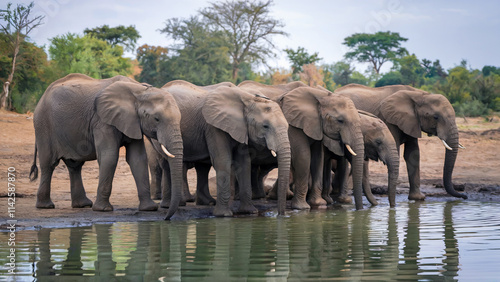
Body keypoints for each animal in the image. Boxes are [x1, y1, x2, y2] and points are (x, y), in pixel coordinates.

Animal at [28, 72, 184, 218]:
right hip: (43, 125)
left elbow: (138, 159)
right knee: (48, 164)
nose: (166, 217)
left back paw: (82, 205)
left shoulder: (133, 122)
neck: (140, 91)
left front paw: (149, 209)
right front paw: (103, 209)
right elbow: (109, 156)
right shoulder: (102, 121)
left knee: (74, 166)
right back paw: (45, 206)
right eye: (156, 119)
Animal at [146, 79, 292, 216]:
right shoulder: (214, 126)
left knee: (201, 167)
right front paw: (224, 215)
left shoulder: (240, 128)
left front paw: (250, 212)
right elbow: (223, 161)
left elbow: (244, 163)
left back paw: (206, 202)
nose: (281, 214)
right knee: (168, 163)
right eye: (265, 126)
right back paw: (173, 205)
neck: (247, 99)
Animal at [240, 81, 366, 209]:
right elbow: (303, 156)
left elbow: (318, 158)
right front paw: (302, 207)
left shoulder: (316, 126)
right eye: (340, 121)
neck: (322, 96)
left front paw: (318, 204)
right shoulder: (293, 125)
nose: (359, 210)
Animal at [334, 83, 466, 200]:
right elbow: (397, 150)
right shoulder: (389, 119)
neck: (420, 95)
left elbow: (413, 154)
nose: (464, 196)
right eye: (436, 117)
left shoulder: (412, 121)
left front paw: (418, 198)